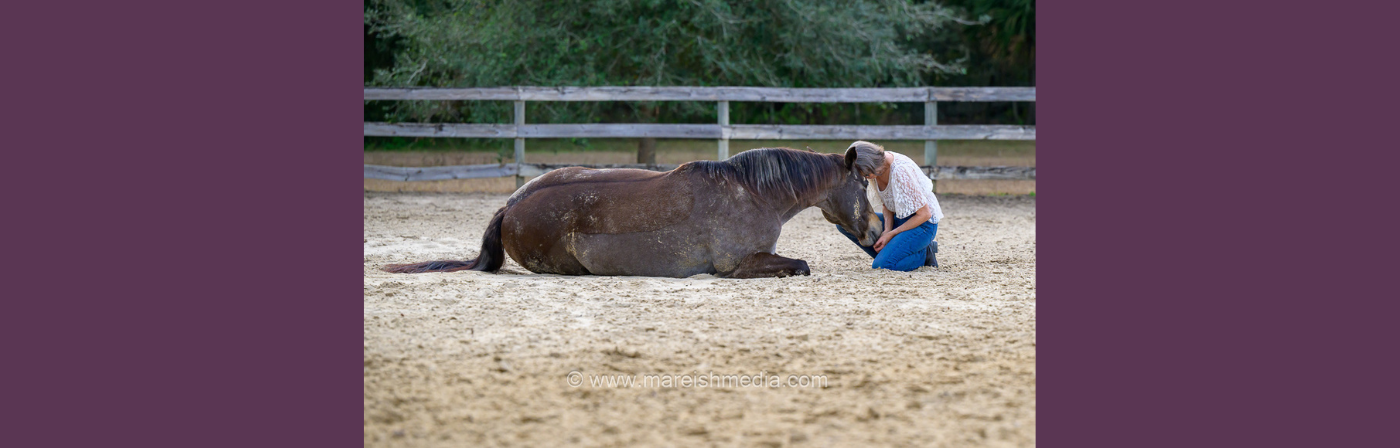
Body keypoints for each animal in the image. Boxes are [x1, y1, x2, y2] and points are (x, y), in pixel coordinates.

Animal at [382, 147, 883, 278]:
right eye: (862, 183)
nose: (876, 229)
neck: (753, 193)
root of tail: (510, 205)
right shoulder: (737, 266)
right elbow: (801, 264)